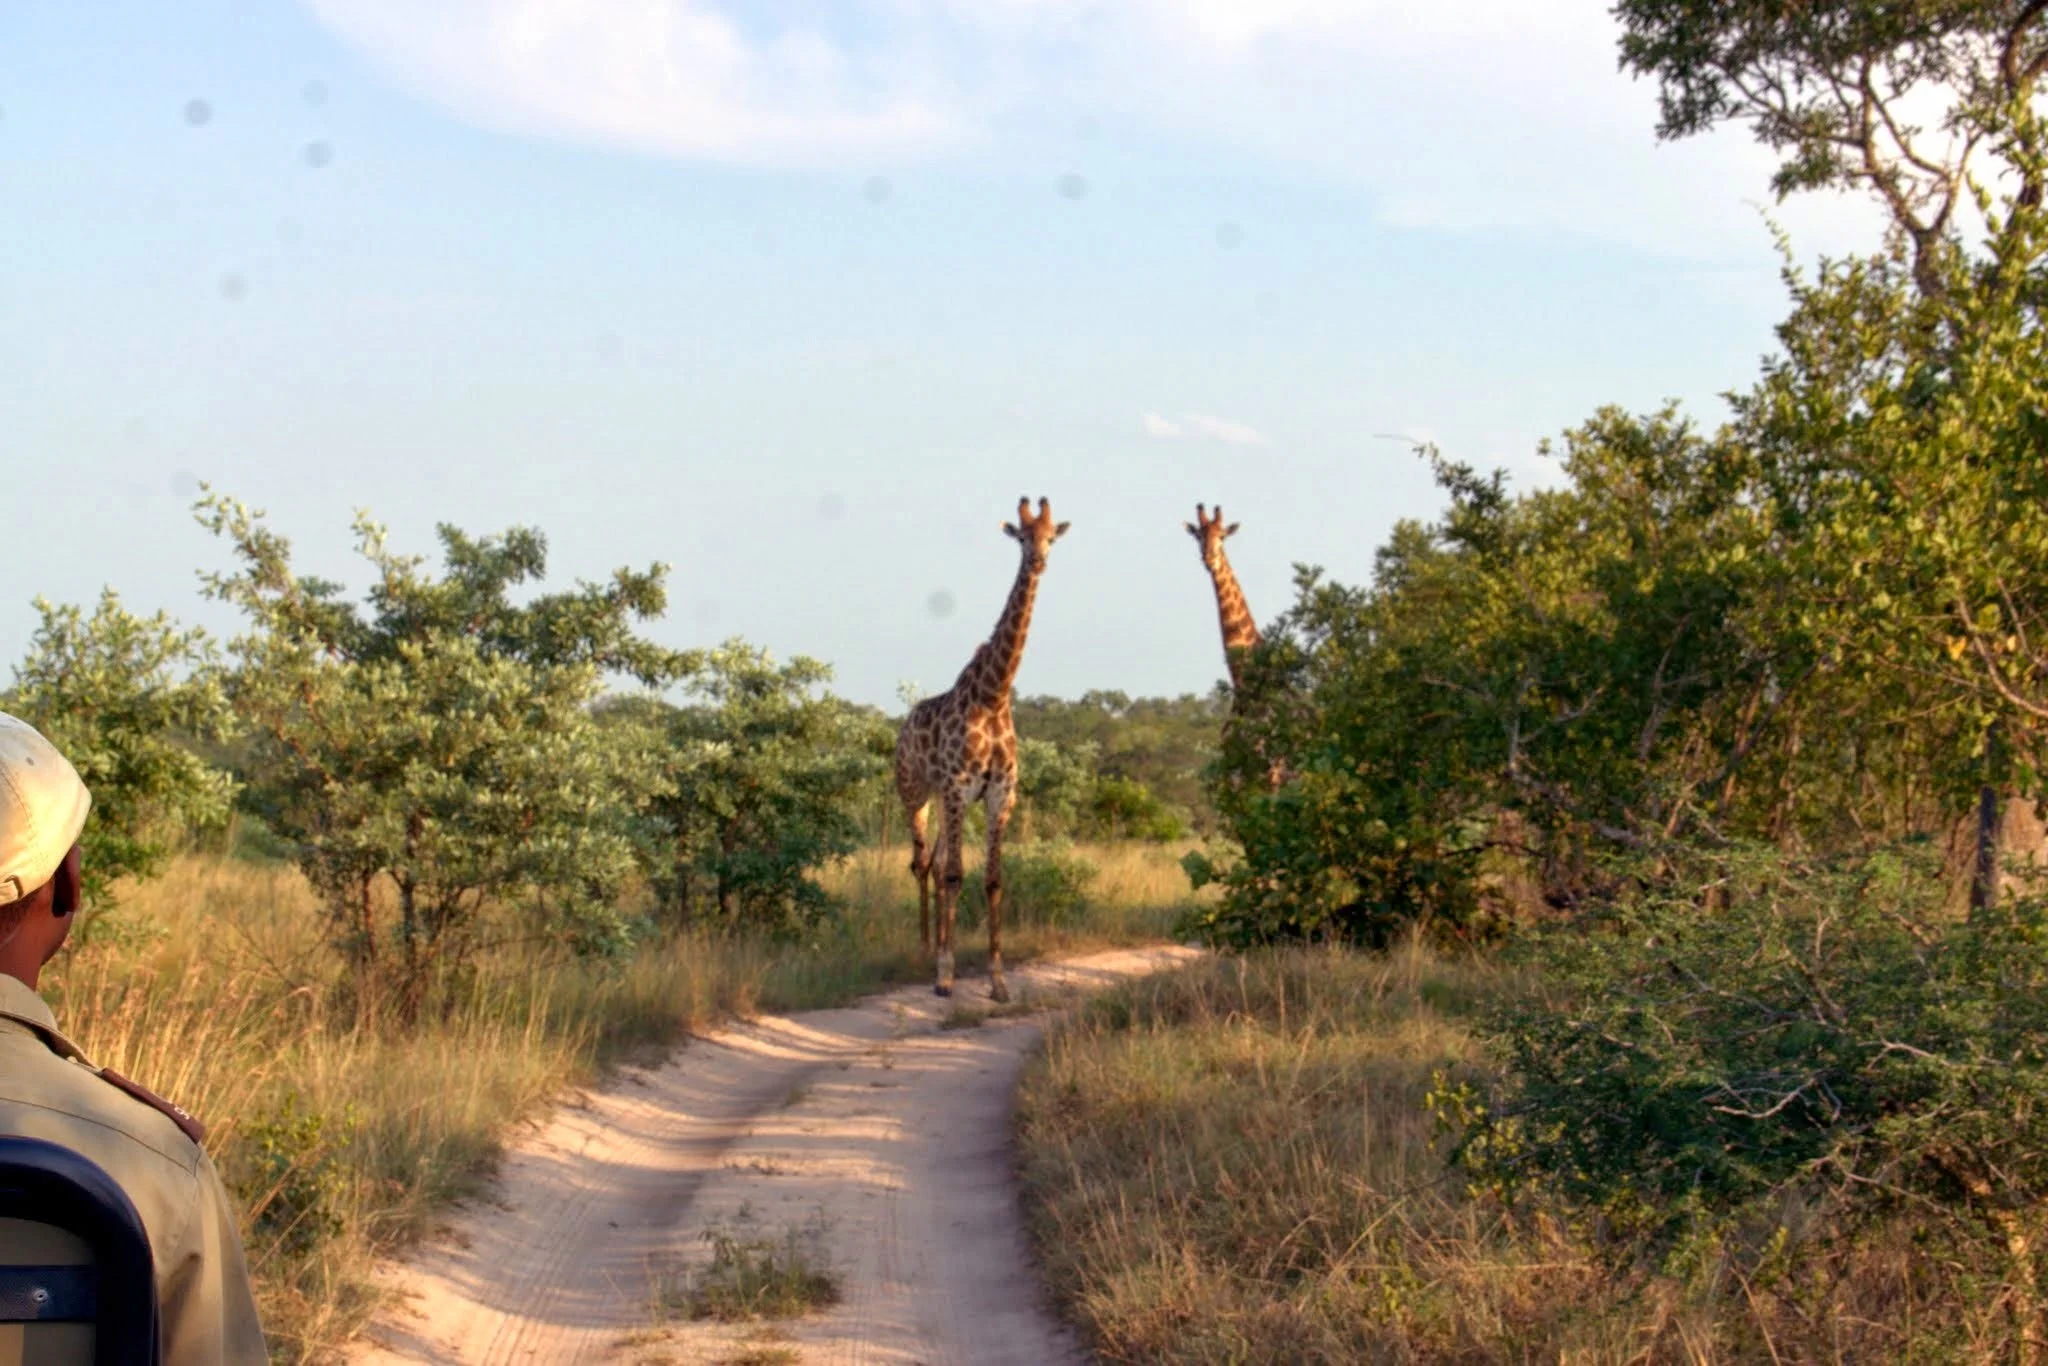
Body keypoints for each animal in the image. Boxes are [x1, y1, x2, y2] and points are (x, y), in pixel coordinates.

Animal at [895, 496, 1070, 1000]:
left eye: (1052, 537)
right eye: (1023, 537)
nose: (1040, 561)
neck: (994, 696)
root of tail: (903, 727)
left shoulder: (998, 794)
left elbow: (992, 880)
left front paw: (997, 980)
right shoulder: (959, 786)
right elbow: (957, 874)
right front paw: (945, 975)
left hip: (943, 800)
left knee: (934, 864)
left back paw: (935, 944)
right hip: (916, 794)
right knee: (921, 863)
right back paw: (924, 950)